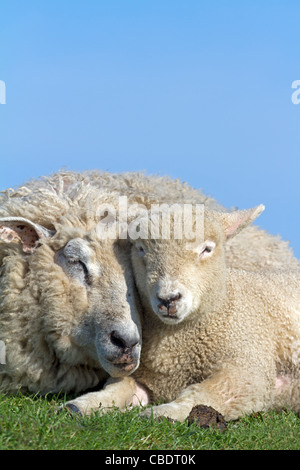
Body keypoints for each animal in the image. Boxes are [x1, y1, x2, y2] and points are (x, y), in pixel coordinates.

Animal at [65, 203, 300, 422]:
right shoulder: (145, 376)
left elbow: (205, 395)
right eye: (141, 249)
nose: (168, 299)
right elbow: (118, 388)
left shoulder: (249, 368)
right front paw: (81, 405)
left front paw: (162, 413)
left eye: (207, 249)